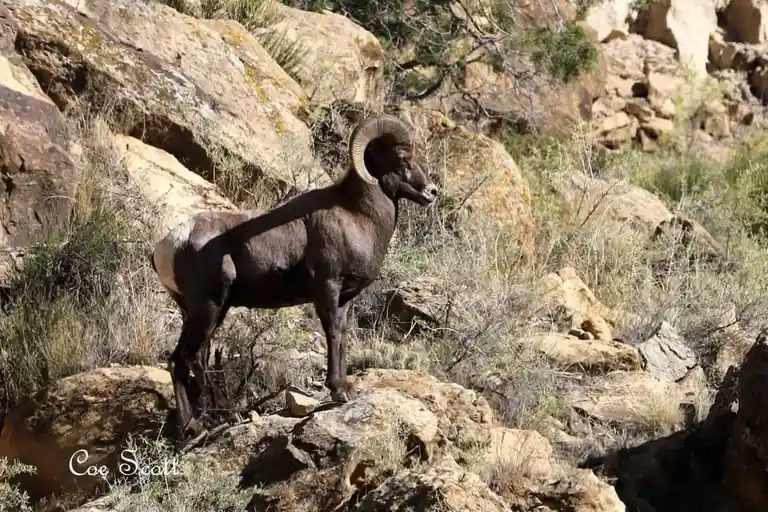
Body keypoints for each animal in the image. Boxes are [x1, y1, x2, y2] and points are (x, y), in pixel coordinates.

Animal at [150, 114, 439, 437]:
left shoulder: (344, 299)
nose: (432, 192)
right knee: (191, 356)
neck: (356, 217)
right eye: (402, 158)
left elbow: (342, 337)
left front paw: (345, 388)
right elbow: (332, 333)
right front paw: (338, 391)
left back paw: (193, 426)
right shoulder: (327, 288)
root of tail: (167, 245)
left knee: (180, 359)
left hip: (202, 311)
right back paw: (227, 413)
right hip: (209, 306)